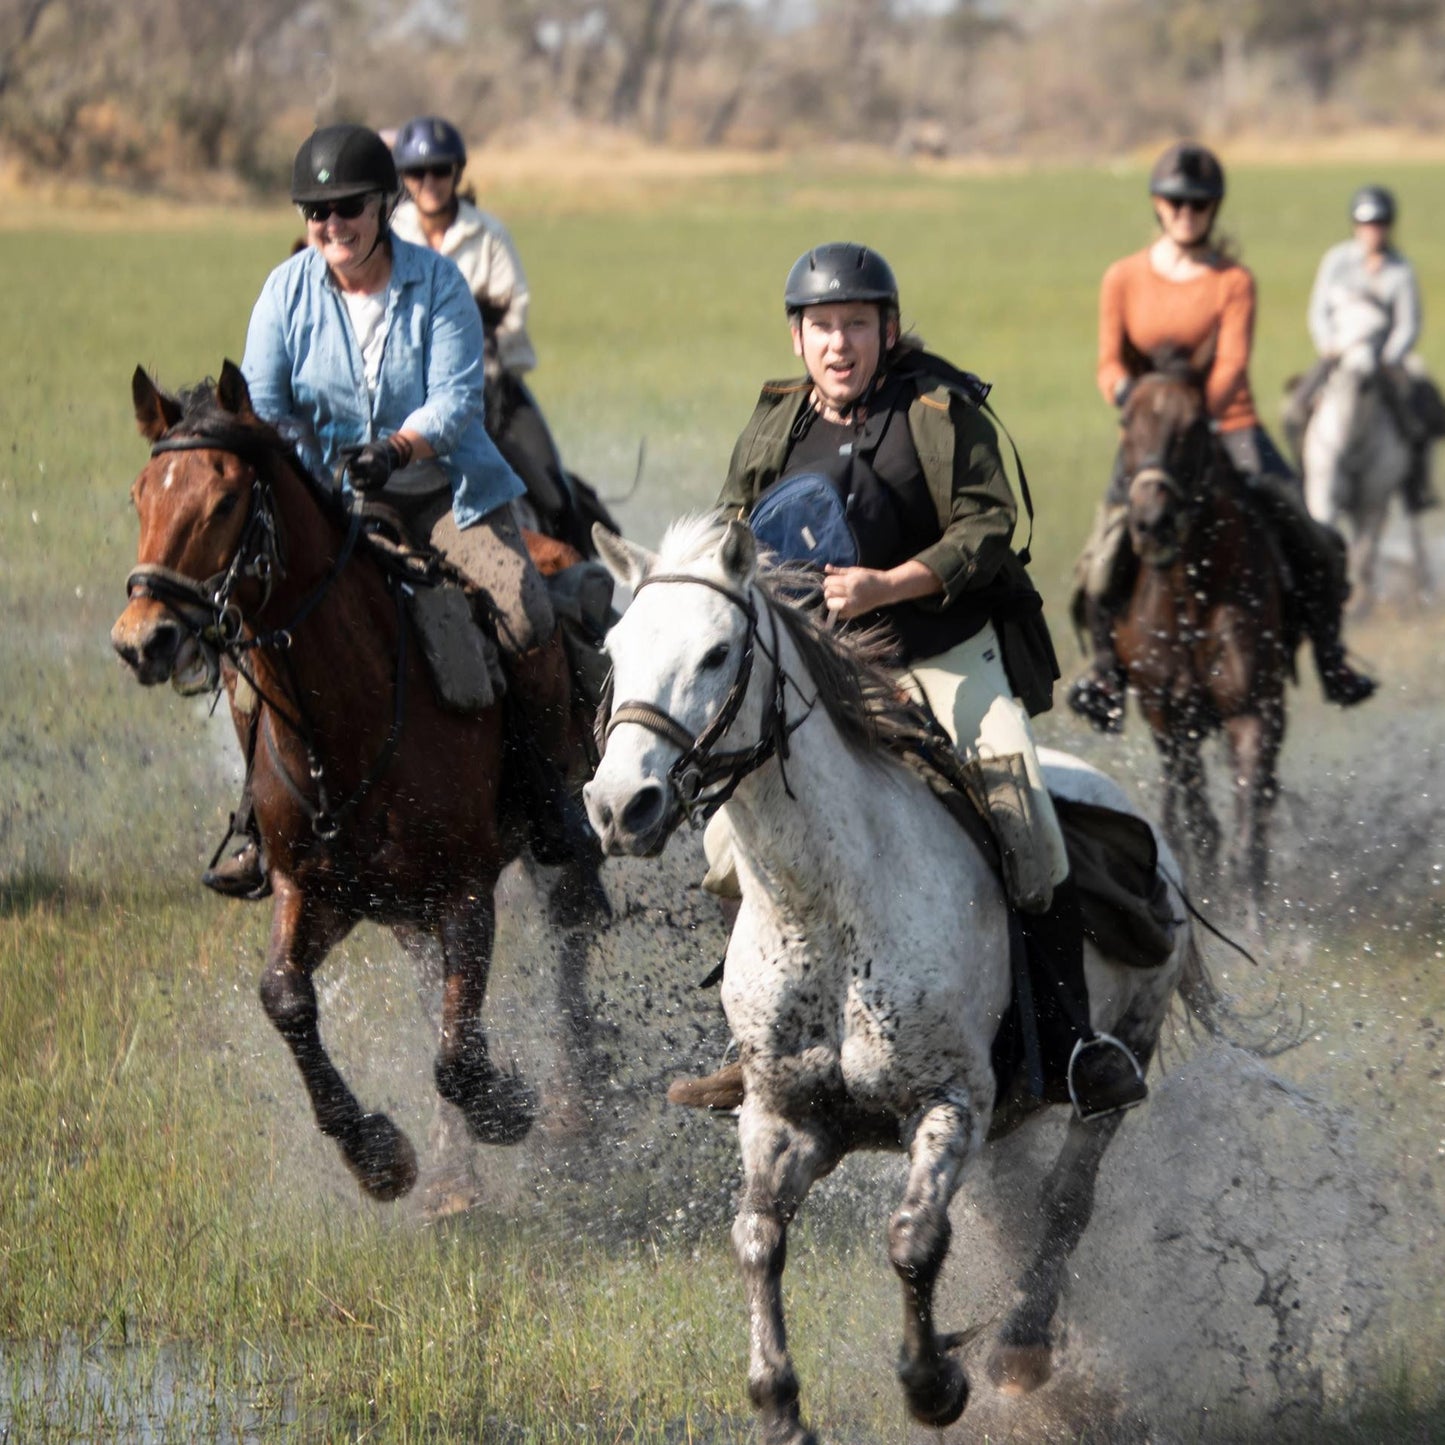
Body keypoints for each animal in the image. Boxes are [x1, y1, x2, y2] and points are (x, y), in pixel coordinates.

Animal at [112, 367, 609, 1202]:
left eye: (225, 499)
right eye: (140, 495)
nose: (142, 640)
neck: (345, 725)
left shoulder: (463, 888)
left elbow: (456, 1055)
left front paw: (505, 1106)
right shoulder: (315, 890)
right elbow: (285, 996)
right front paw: (378, 1154)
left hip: (549, 836)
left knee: (568, 931)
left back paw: (577, 1105)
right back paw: (453, 1172)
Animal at [580, 520, 1202, 1445]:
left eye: (718, 652)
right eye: (616, 650)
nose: (620, 805)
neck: (827, 906)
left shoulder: (946, 1101)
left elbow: (912, 1236)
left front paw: (931, 1382)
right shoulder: (786, 1112)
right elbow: (756, 1234)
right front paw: (778, 1406)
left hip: (1119, 1057)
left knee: (1066, 1198)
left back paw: (1021, 1346)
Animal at [1109, 352, 1294, 913]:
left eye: (1193, 427)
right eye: (1127, 420)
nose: (1152, 522)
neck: (1192, 596)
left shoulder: (1251, 711)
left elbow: (1248, 838)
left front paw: (1253, 921)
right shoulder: (1172, 719)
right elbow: (1198, 823)